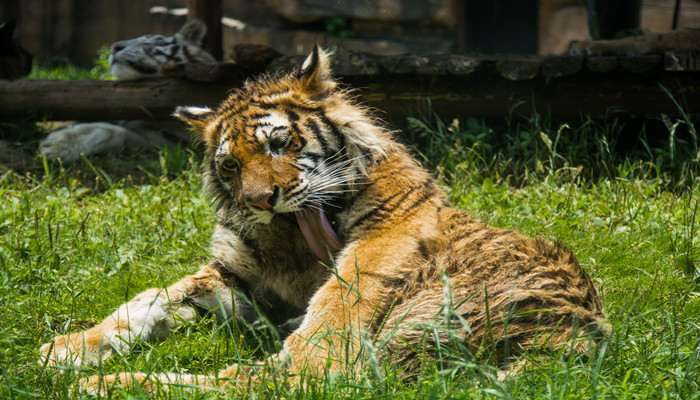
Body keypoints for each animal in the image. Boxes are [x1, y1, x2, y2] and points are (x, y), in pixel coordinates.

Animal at [39, 46, 608, 390]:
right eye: (229, 165)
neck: (292, 240)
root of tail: (568, 344)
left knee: (263, 381)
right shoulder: (230, 275)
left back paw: (105, 387)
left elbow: (334, 305)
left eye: (277, 143)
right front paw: (64, 350)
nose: (260, 200)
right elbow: (146, 300)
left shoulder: (373, 252)